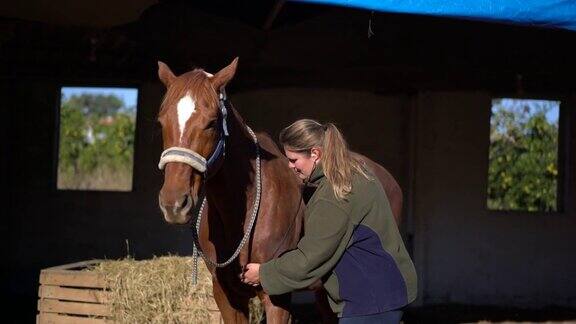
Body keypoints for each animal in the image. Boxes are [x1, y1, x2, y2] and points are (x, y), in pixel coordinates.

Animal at [155, 57, 402, 322]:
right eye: (161, 121)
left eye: (211, 123)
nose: (174, 204)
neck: (243, 212)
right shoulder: (226, 296)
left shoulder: (276, 297)